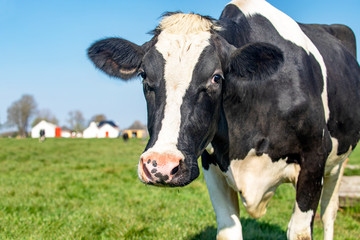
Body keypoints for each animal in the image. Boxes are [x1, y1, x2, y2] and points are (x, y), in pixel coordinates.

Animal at [88, 0, 360, 239]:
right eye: (144, 75)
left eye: (216, 77)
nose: (161, 166)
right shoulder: (211, 164)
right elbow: (229, 231)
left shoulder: (314, 157)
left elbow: (300, 231)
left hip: (337, 165)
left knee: (329, 213)